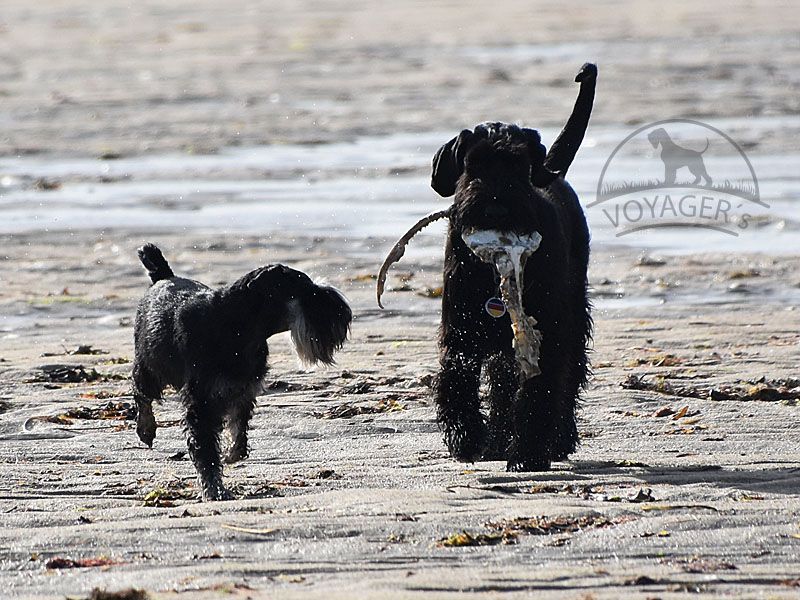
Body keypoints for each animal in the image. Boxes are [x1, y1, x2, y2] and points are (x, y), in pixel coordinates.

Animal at [133, 244, 351, 500]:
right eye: (307, 292)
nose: (345, 315)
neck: (237, 325)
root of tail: (163, 277)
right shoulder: (200, 402)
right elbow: (205, 450)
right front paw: (214, 489)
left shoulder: (243, 390)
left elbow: (238, 427)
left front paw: (232, 454)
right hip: (150, 368)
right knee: (141, 394)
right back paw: (146, 429)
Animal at [427, 63, 596, 472]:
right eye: (473, 164)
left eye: (518, 164)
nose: (495, 207)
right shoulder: (461, 331)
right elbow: (456, 379)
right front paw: (467, 438)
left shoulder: (546, 333)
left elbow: (541, 390)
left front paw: (529, 453)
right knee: (503, 386)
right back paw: (496, 441)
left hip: (573, 314)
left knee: (569, 377)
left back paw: (557, 440)